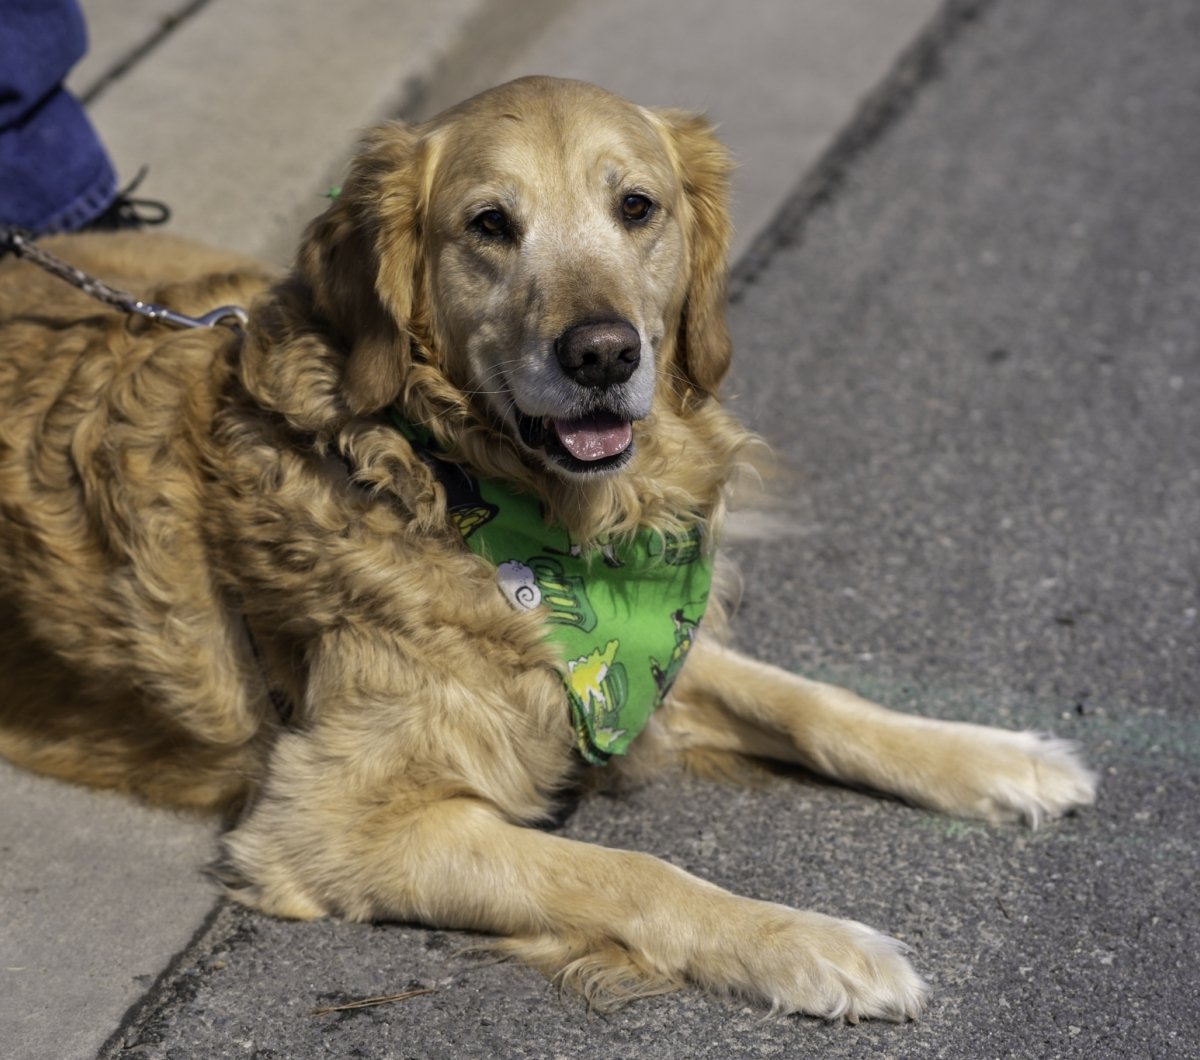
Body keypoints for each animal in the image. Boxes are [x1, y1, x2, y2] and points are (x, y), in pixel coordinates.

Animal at [0, 74, 1099, 1017]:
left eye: (638, 207)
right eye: (491, 224)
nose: (604, 354)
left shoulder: (644, 648)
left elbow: (810, 701)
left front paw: (995, 757)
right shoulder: (329, 824)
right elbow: (627, 871)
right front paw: (813, 945)